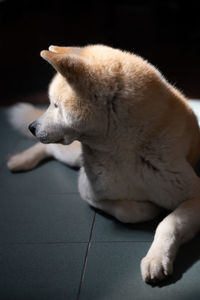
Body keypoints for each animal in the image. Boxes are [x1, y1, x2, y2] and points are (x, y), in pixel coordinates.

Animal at [6, 44, 200, 284]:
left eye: (55, 105)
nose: (32, 127)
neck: (124, 149)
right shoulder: (88, 191)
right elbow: (131, 212)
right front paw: (150, 208)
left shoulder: (194, 195)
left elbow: (169, 223)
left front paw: (156, 258)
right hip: (70, 155)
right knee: (48, 149)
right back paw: (20, 160)